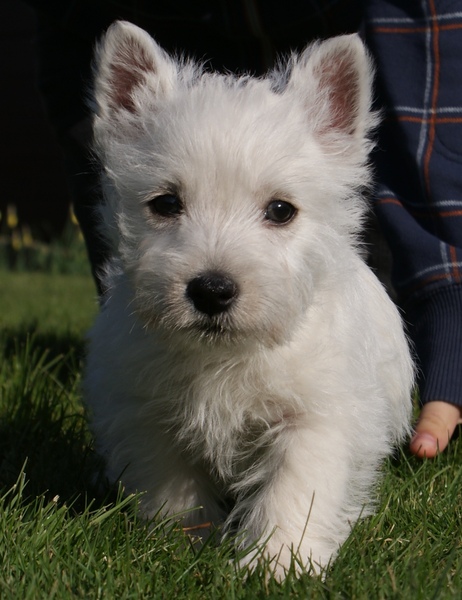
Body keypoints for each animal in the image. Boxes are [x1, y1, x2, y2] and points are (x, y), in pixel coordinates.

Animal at [85, 21, 414, 580]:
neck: (226, 356)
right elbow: (170, 482)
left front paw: (280, 561)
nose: (212, 290)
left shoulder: (318, 414)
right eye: (166, 203)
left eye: (281, 210)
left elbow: (297, 485)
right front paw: (181, 542)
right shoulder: (145, 411)